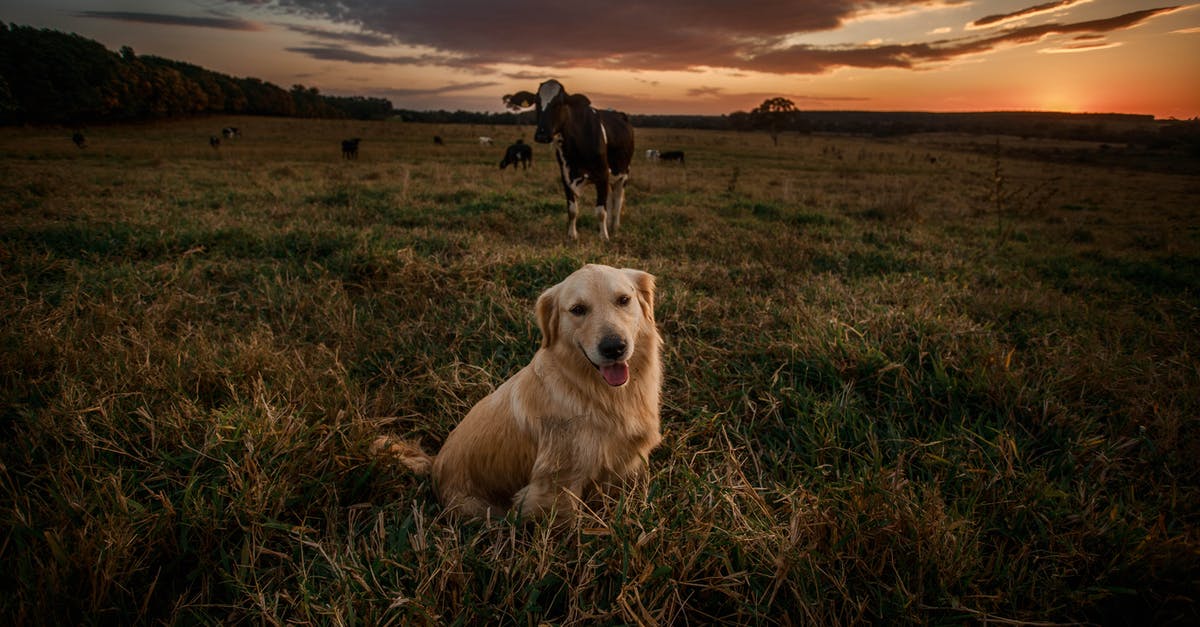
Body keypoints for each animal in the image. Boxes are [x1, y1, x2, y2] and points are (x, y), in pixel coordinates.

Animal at [369, 260, 662, 514]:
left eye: (623, 300)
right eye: (578, 309)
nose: (614, 347)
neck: (593, 390)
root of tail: (434, 463)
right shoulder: (555, 485)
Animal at [504, 79, 638, 240]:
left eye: (560, 103)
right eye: (536, 102)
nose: (542, 135)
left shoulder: (602, 175)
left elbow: (601, 211)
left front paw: (603, 237)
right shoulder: (566, 176)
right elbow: (573, 210)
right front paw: (572, 235)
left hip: (624, 172)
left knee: (618, 200)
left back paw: (615, 227)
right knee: (611, 198)